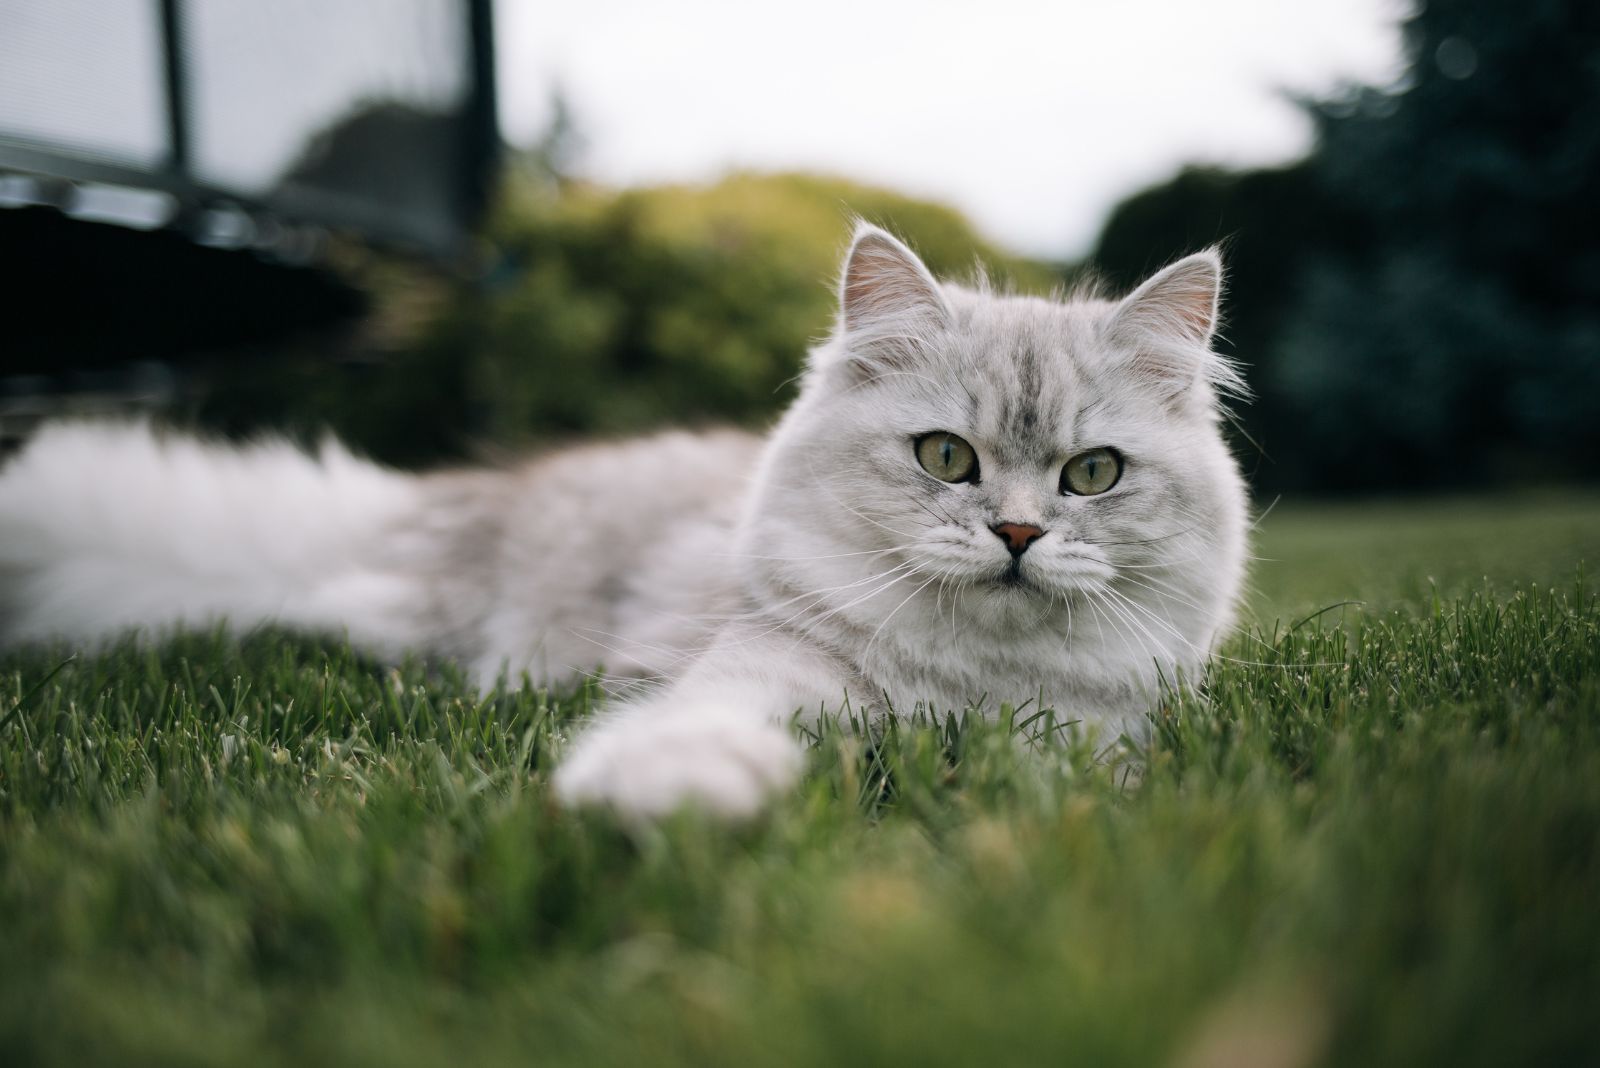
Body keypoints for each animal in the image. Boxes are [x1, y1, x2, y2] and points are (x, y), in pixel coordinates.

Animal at [0, 225, 1248, 818]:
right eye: (946, 458)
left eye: (1091, 474)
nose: (1019, 537)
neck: (963, 693)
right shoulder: (765, 669)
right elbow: (704, 728)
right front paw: (666, 800)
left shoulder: (1097, 733)